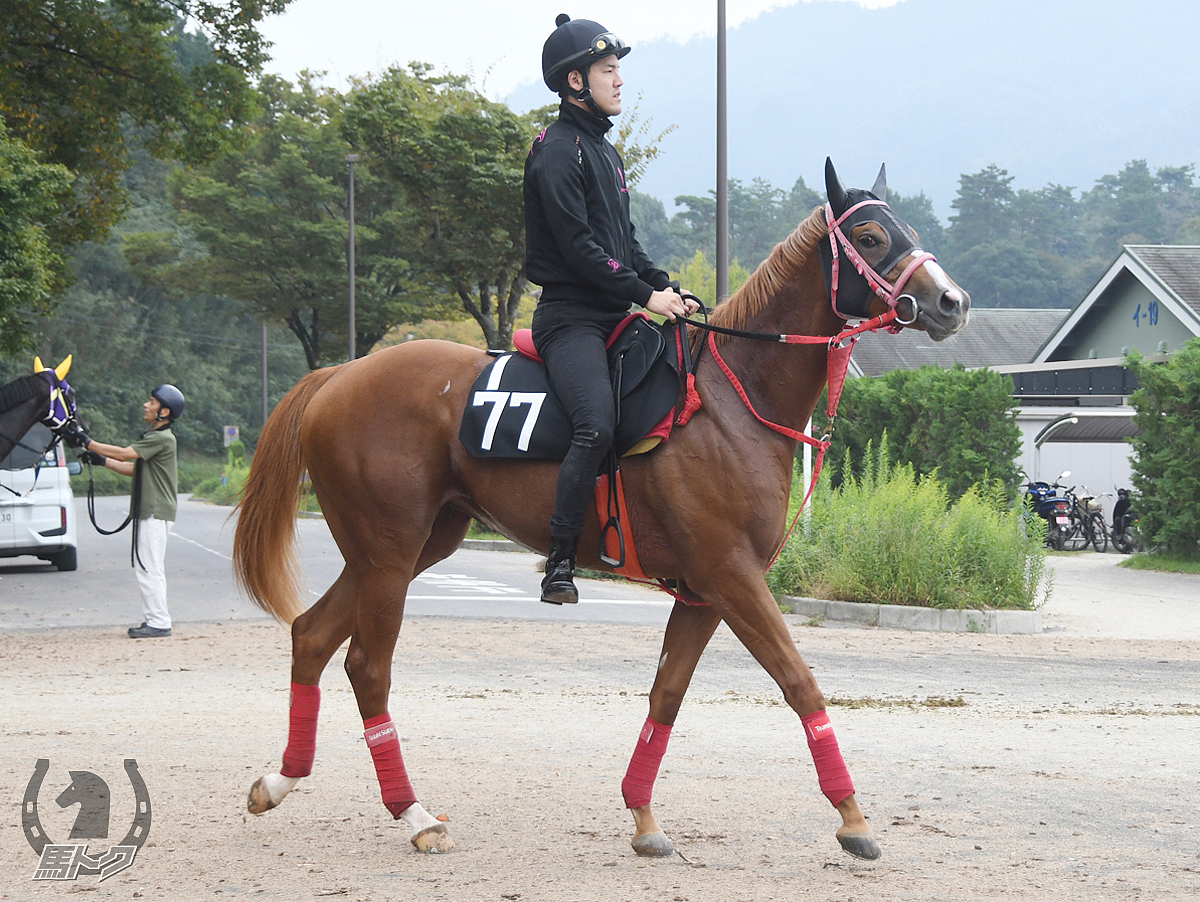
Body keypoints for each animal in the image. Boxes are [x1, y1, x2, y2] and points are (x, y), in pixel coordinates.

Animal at [236, 160, 974, 858]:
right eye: (871, 236)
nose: (952, 300)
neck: (731, 400)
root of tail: (340, 375)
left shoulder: (705, 591)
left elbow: (667, 694)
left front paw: (644, 817)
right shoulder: (733, 576)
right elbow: (801, 683)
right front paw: (853, 818)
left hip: (405, 549)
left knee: (312, 635)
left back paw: (281, 779)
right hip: (389, 553)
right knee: (366, 666)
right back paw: (414, 814)